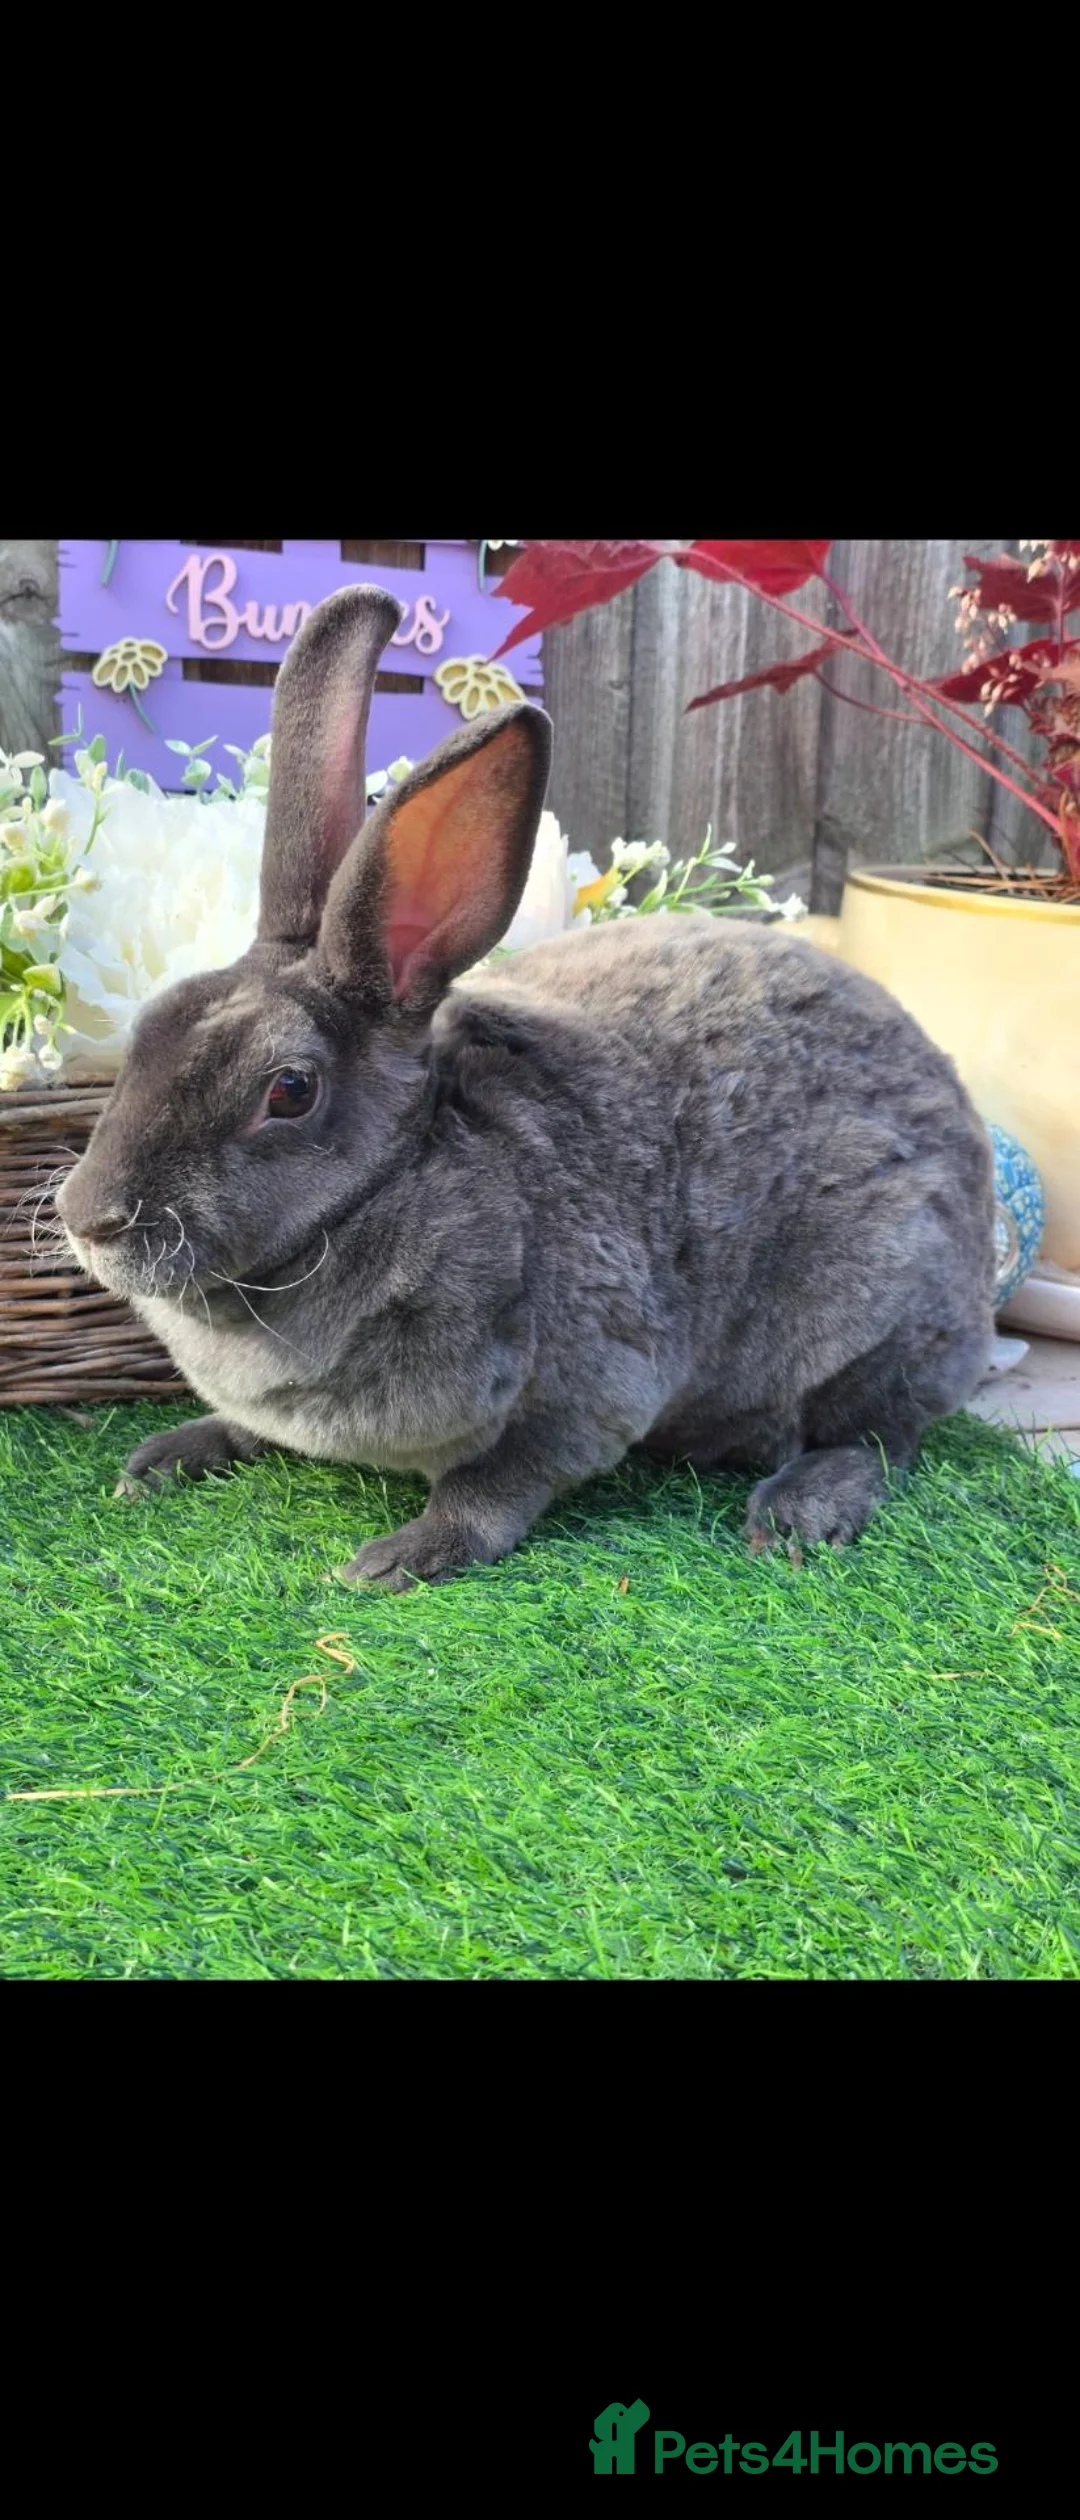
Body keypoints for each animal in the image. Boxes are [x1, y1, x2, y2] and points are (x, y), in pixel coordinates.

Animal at [56, 583, 996, 1590]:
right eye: (150, 1028)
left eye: (290, 1090)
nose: (87, 1218)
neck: (392, 1186)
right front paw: (166, 1457)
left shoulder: (589, 1387)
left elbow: (498, 1485)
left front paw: (398, 1559)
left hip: (880, 1309)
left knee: (878, 1437)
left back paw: (798, 1512)